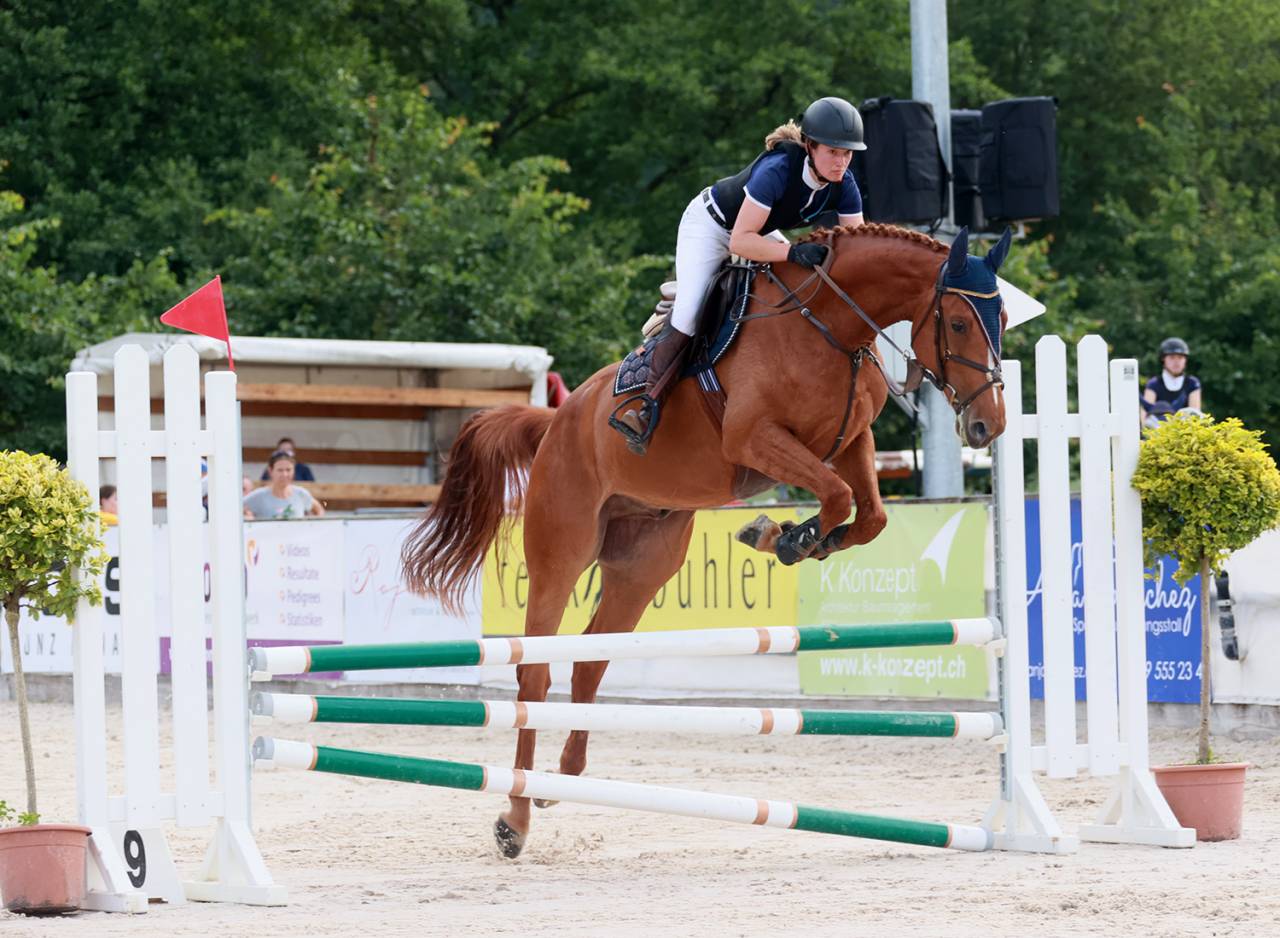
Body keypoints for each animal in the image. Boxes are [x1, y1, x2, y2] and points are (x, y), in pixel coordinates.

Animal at [402, 223, 1012, 858]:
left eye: (1002, 318)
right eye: (959, 323)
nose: (988, 426)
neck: (830, 328)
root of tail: (556, 422)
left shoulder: (850, 441)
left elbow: (867, 516)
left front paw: (785, 535)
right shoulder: (755, 438)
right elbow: (840, 498)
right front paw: (785, 537)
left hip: (644, 563)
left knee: (590, 661)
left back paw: (562, 778)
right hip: (561, 550)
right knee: (534, 673)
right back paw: (515, 819)